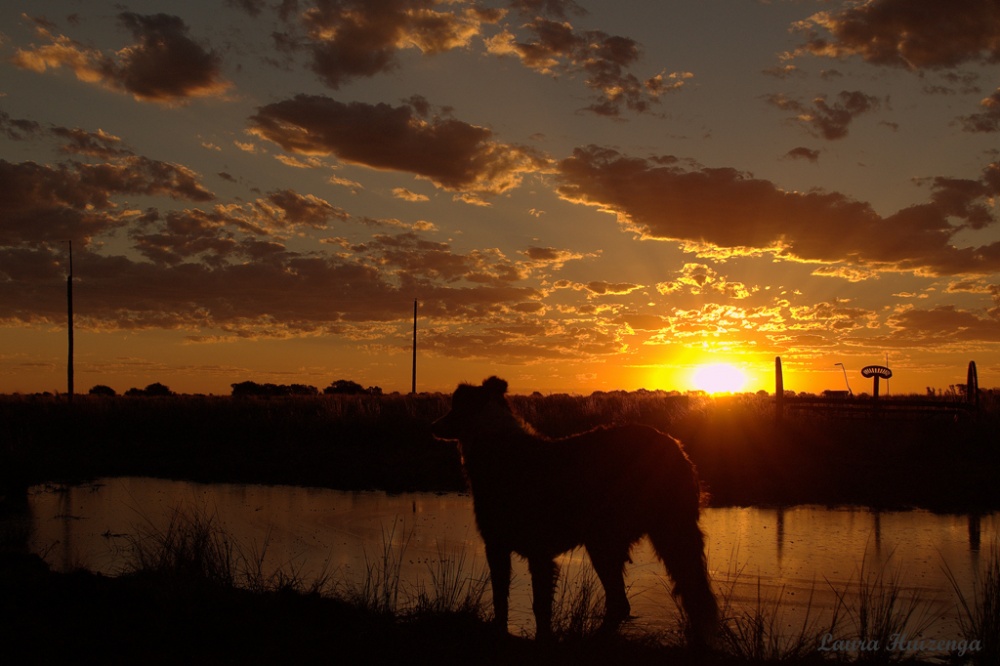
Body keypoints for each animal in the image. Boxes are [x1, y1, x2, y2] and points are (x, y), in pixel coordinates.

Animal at [434, 376, 716, 640]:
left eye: (454, 406)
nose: (434, 425)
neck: (494, 443)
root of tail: (677, 448)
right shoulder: (507, 545)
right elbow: (504, 599)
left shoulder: (518, 546)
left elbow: (532, 605)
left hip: (613, 537)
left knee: (630, 599)